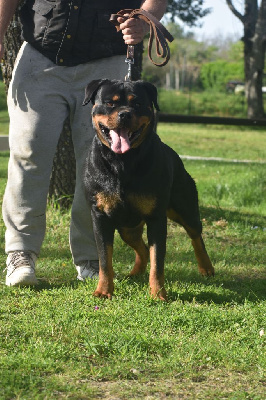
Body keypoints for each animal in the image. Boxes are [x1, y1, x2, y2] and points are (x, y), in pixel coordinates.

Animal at [83, 79, 214, 300]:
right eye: (110, 103)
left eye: (137, 104)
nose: (125, 114)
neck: (122, 162)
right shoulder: (100, 216)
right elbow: (104, 259)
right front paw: (103, 290)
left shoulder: (156, 217)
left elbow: (157, 261)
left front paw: (158, 293)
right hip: (126, 228)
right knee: (142, 248)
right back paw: (135, 272)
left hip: (184, 208)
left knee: (195, 234)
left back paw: (206, 267)